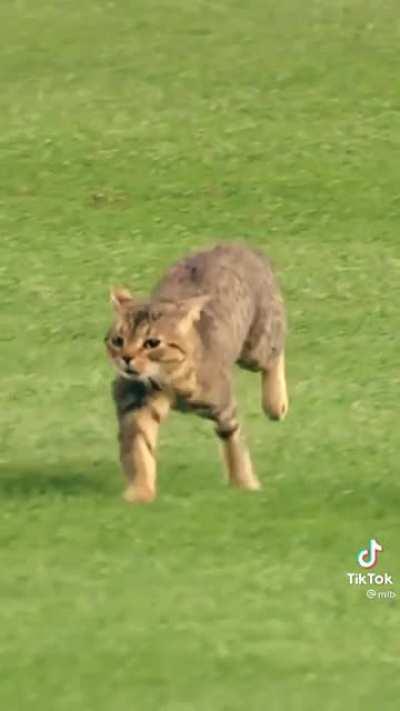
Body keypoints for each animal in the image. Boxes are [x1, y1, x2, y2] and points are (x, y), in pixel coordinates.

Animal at [105, 242, 288, 504]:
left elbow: (235, 444)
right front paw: (140, 492)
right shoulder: (133, 404)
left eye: (152, 343)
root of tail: (238, 243)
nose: (126, 358)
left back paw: (276, 404)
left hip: (256, 347)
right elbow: (140, 450)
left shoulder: (224, 406)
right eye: (118, 341)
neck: (169, 381)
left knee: (276, 353)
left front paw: (245, 483)